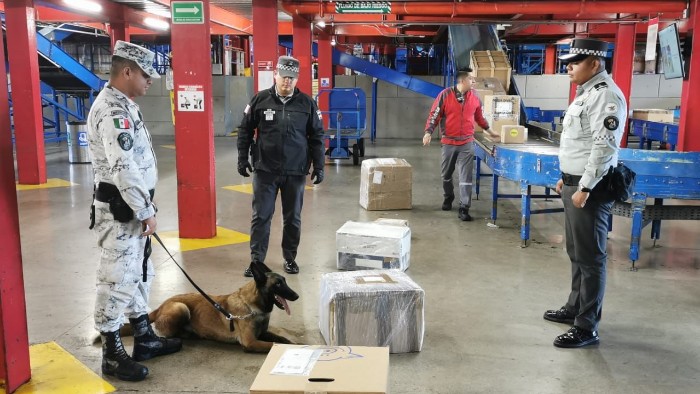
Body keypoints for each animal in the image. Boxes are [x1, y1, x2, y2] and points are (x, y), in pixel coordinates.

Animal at [149, 264, 300, 352]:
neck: (253, 308)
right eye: (278, 284)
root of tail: (160, 306)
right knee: (168, 333)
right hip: (181, 308)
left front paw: (295, 343)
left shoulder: (263, 333)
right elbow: (274, 344)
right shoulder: (251, 342)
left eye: (285, 281)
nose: (297, 296)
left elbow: (282, 338)